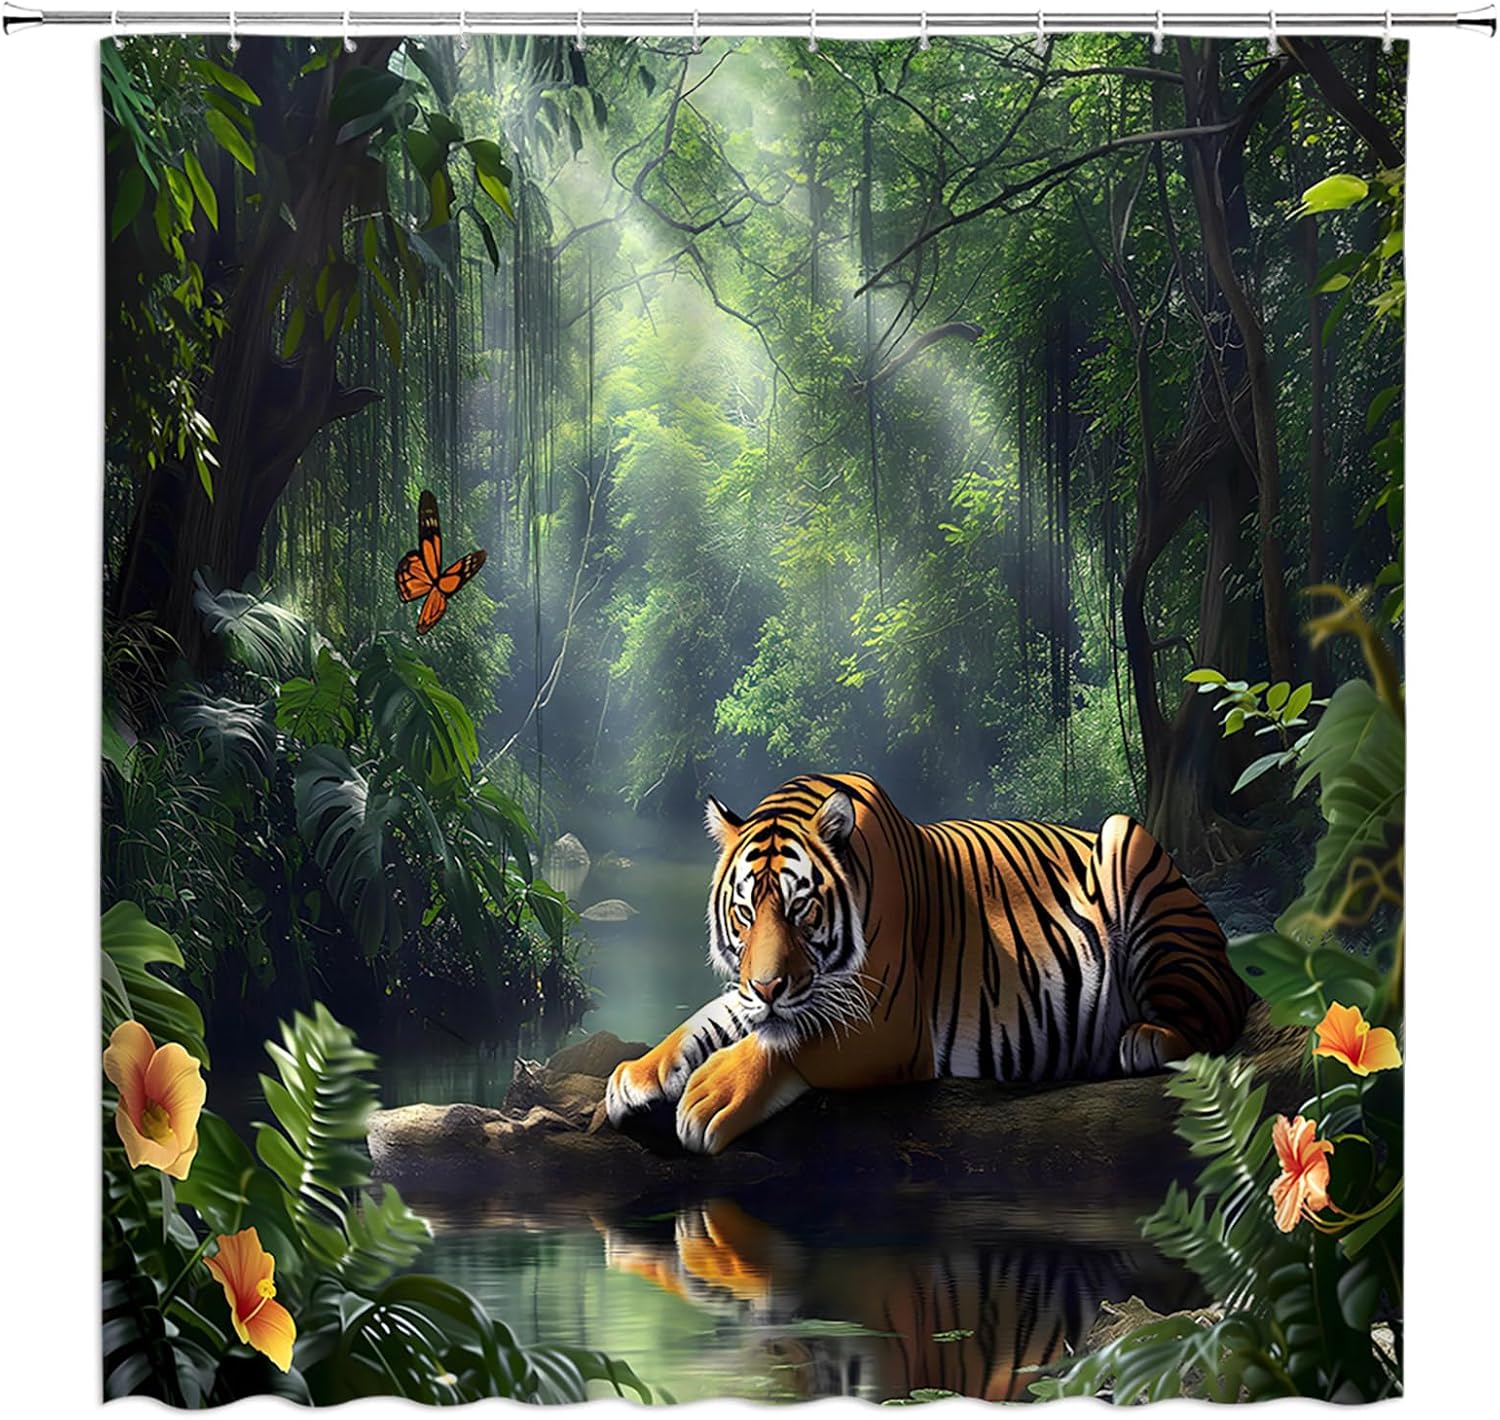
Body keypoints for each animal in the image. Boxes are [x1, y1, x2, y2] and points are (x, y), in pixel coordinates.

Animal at [605, 772, 1248, 1155]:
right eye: (744, 913)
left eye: (800, 908)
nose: (766, 987)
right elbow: (705, 1021)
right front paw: (635, 1074)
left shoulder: (887, 1025)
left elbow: (791, 1042)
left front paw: (711, 1093)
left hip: (1129, 847)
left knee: (1214, 1013)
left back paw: (1146, 1037)